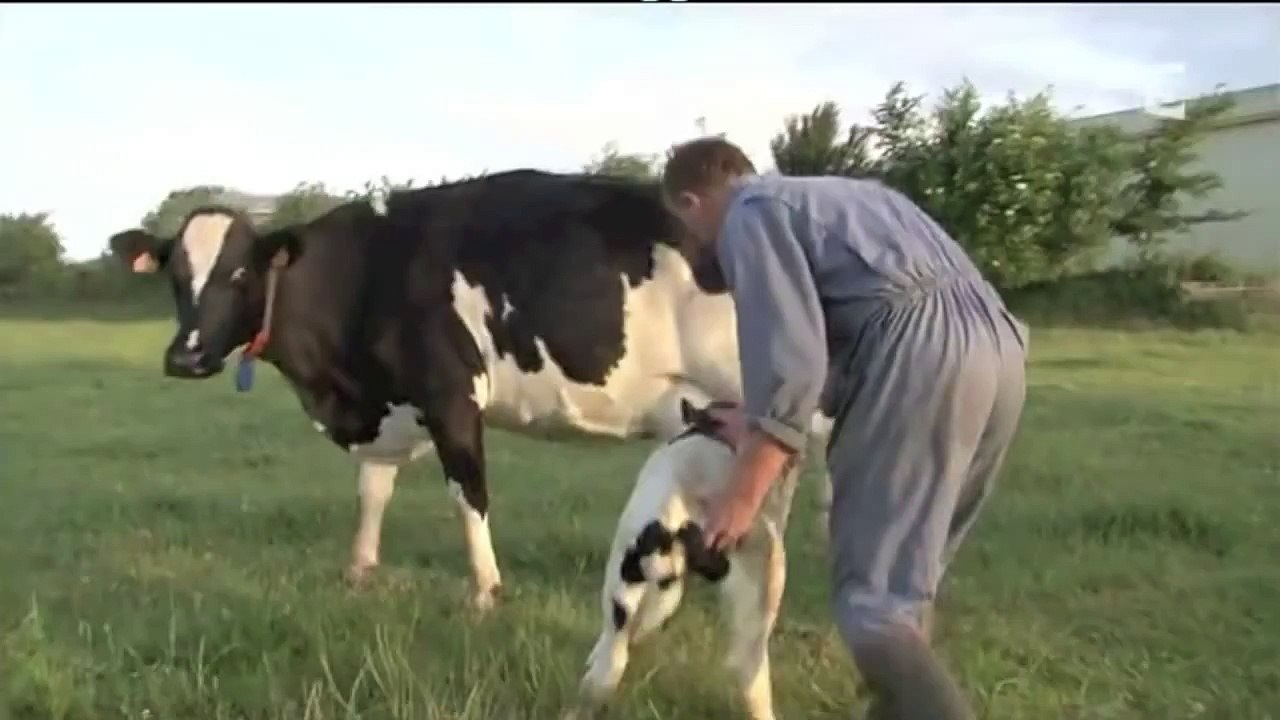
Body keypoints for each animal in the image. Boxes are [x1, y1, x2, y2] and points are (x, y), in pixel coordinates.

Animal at [107, 169, 833, 612]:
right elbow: (373, 491)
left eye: (238, 274)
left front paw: (485, 591)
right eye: (176, 274)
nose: (184, 355)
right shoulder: (390, 406)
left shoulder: (450, 396)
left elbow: (469, 496)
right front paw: (359, 571)